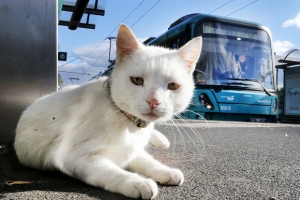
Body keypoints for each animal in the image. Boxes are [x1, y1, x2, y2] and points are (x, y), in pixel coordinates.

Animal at [13, 24, 202, 199]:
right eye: (137, 80)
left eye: (173, 85)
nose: (154, 101)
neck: (131, 125)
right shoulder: (73, 157)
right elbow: (111, 171)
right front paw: (137, 181)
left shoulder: (131, 150)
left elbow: (146, 160)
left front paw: (165, 171)